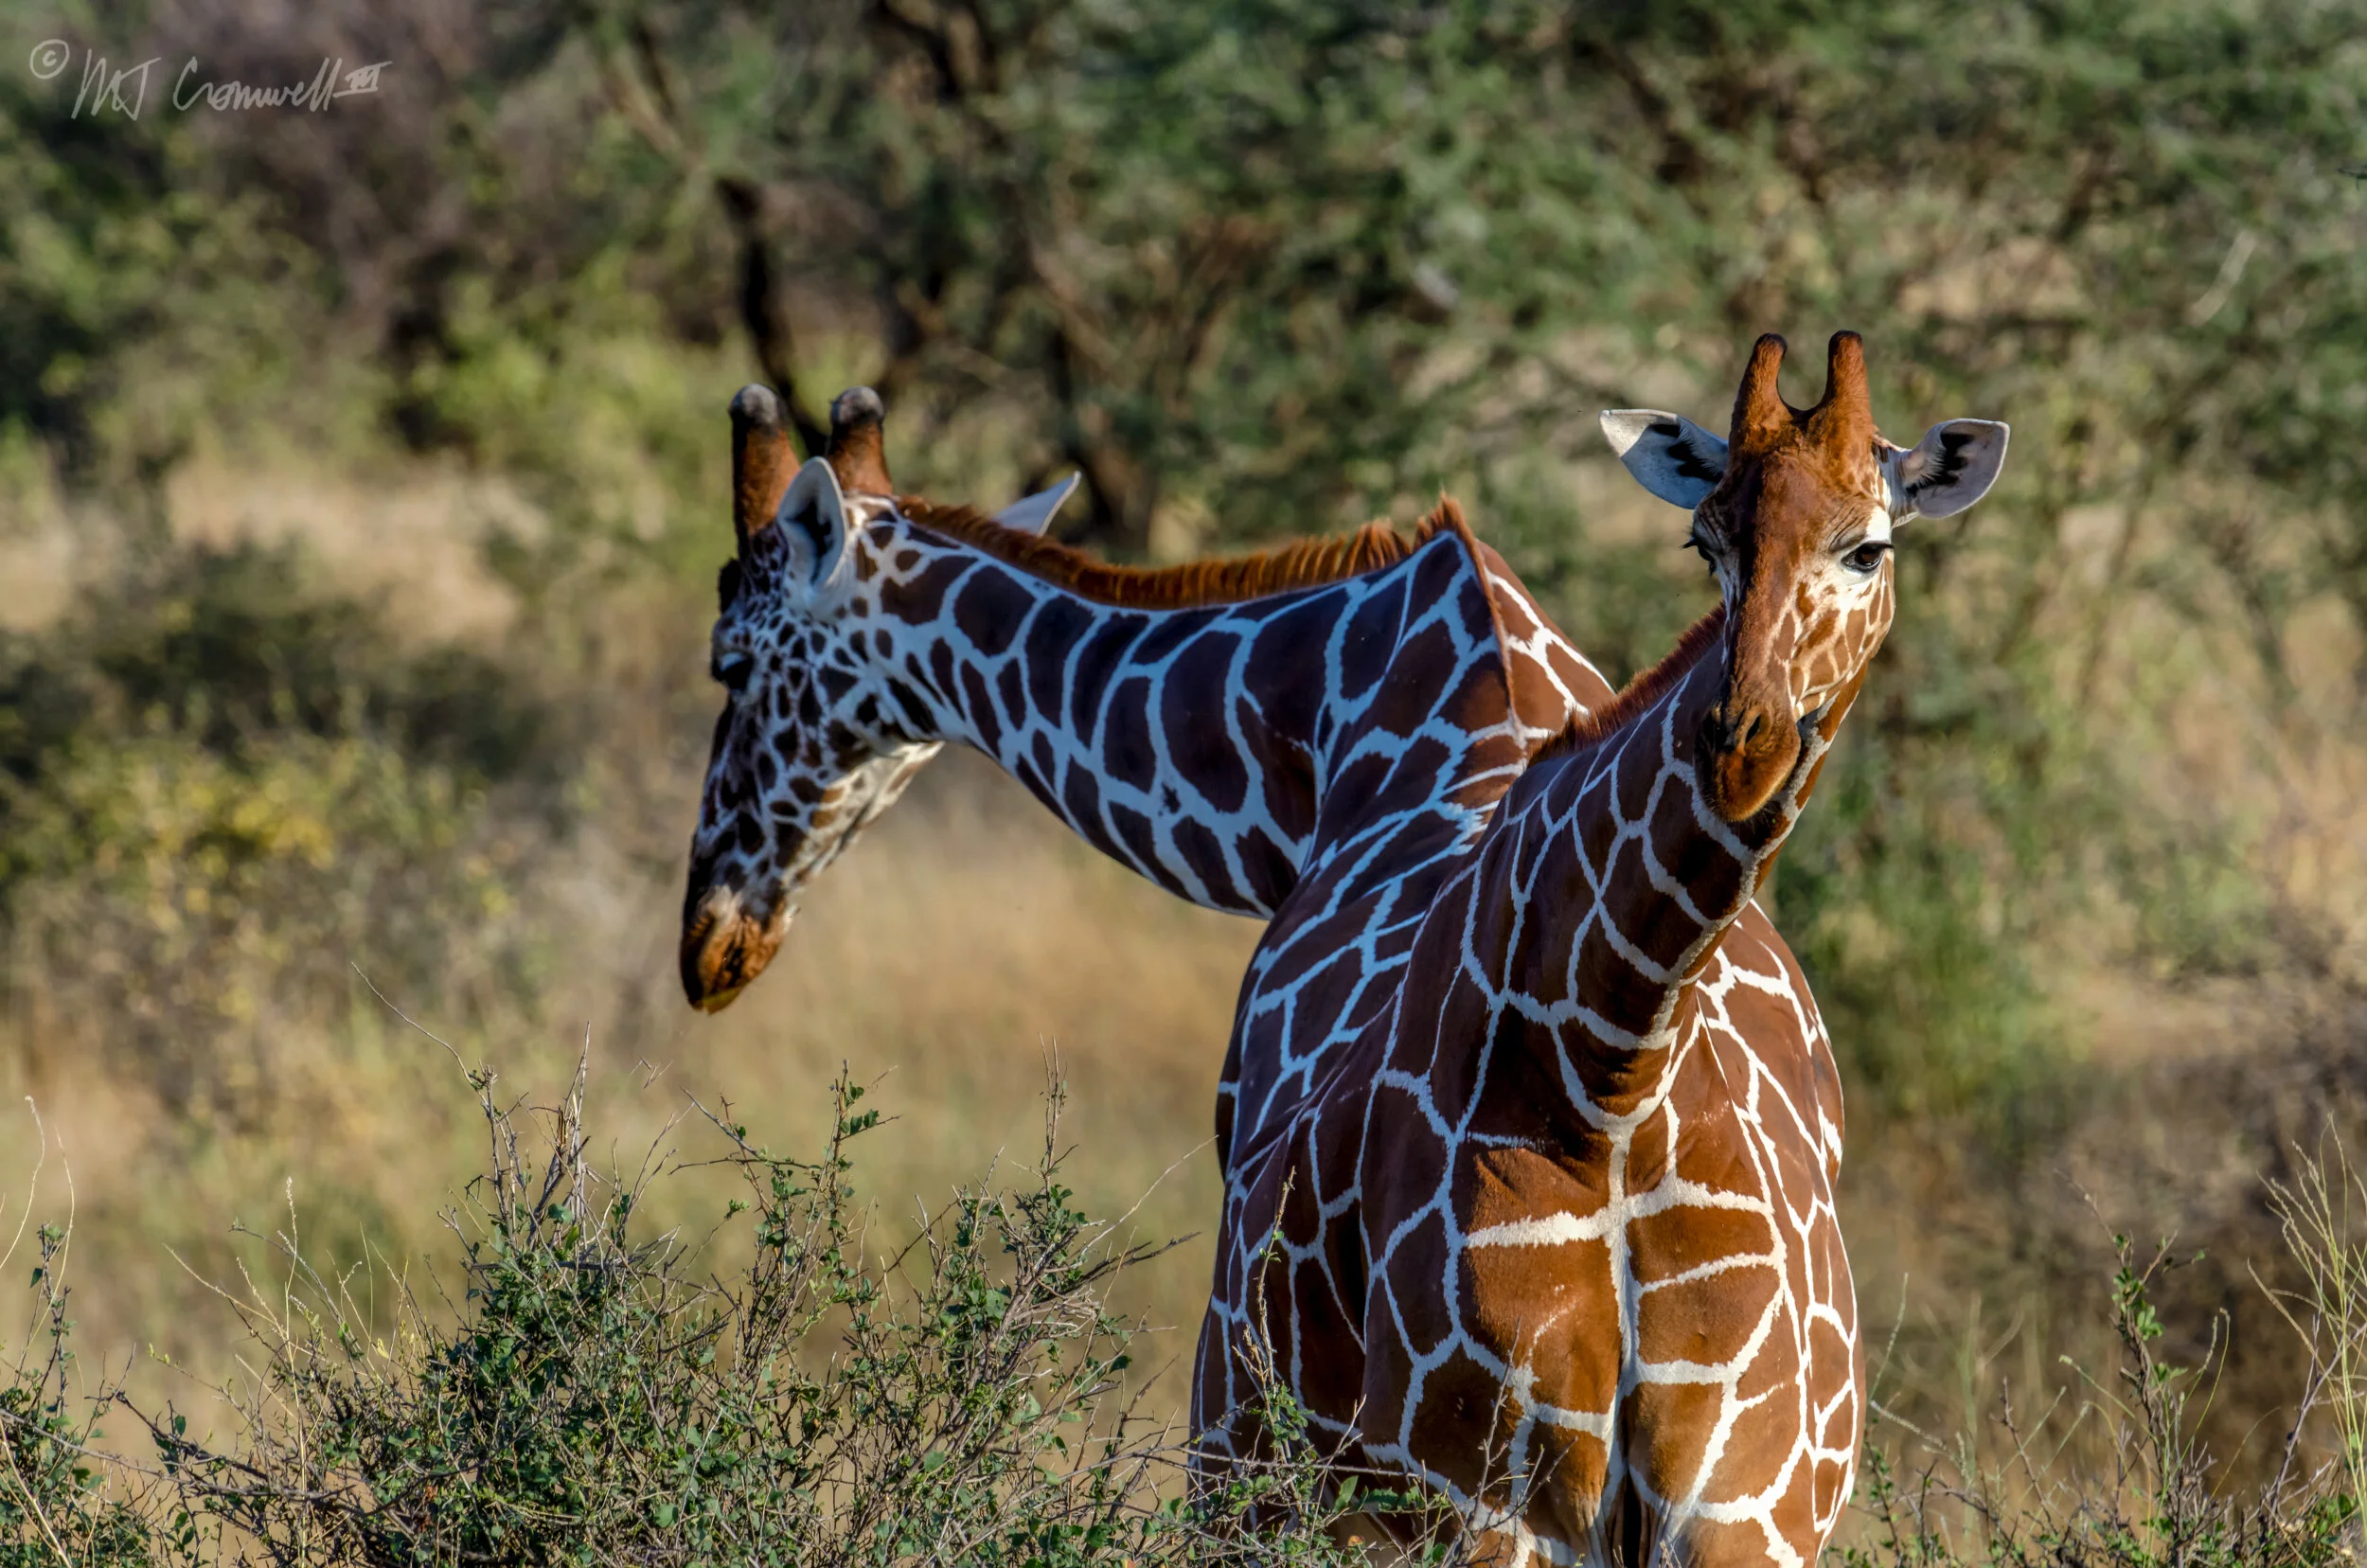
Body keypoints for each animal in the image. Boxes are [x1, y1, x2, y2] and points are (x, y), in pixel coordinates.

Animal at [1195, 331, 2009, 1566]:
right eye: (1704, 541)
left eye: (1867, 547)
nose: (1742, 741)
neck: (1611, 1075)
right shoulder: (1483, 1503)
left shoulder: (1741, 1512)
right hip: (1244, 1482)